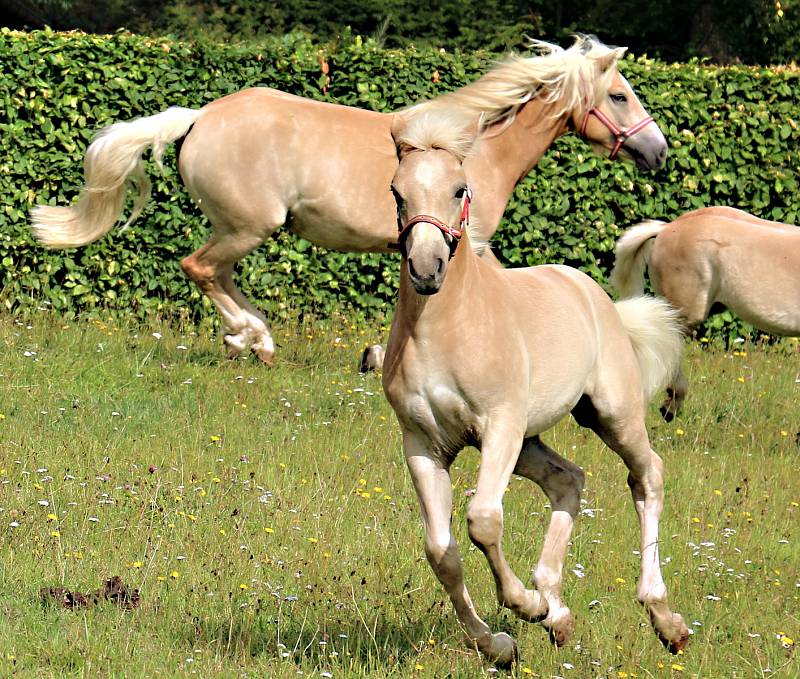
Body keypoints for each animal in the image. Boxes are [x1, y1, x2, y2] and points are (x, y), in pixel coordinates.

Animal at [32, 35, 668, 366]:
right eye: (618, 96)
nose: (658, 152)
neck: (477, 149)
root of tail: (199, 118)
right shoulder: (468, 242)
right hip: (249, 225)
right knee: (201, 267)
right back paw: (252, 336)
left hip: (241, 228)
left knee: (217, 273)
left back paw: (252, 338)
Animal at [382, 109, 688, 668]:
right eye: (397, 192)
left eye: (460, 189)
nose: (426, 269)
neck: (446, 328)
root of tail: (592, 293)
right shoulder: (423, 443)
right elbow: (441, 552)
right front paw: (500, 643)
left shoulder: (500, 425)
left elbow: (482, 520)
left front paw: (525, 606)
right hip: (530, 441)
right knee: (568, 480)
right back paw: (559, 614)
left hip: (609, 415)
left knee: (647, 475)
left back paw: (664, 620)